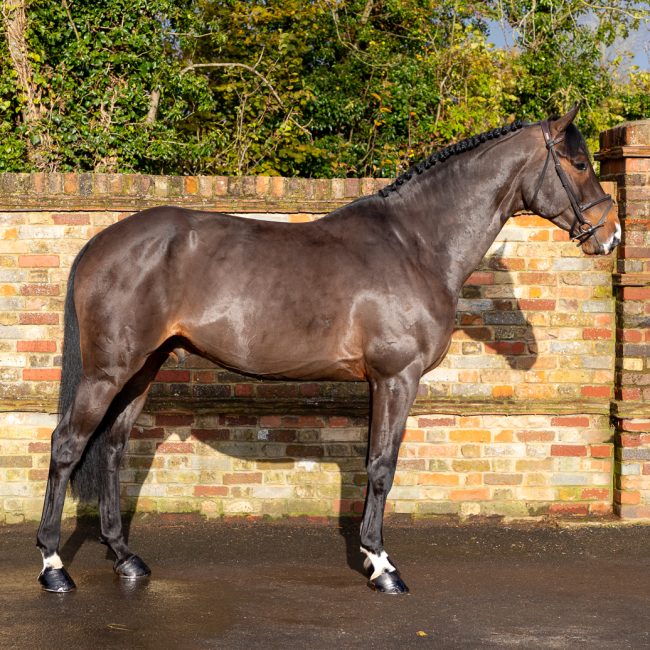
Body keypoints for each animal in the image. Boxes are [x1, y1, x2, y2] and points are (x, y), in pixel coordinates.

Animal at [36, 104, 620, 594]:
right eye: (577, 162)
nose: (609, 235)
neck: (415, 245)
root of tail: (100, 242)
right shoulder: (397, 378)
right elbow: (383, 466)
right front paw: (383, 567)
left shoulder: (378, 383)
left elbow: (371, 462)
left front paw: (369, 554)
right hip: (109, 371)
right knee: (67, 445)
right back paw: (53, 567)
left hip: (142, 369)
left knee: (111, 449)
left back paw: (126, 559)